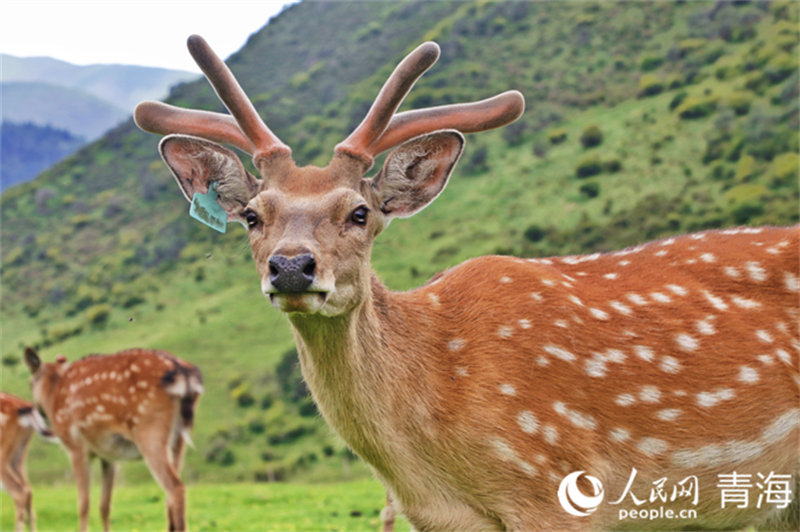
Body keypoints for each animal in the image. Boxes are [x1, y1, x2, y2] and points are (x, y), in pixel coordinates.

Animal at [24, 350, 203, 532]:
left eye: (30, 383)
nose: (36, 409)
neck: (54, 395)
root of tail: (183, 372)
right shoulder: (108, 455)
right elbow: (105, 505)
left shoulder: (76, 447)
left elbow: (83, 504)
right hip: (179, 439)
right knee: (169, 492)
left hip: (150, 430)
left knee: (176, 487)